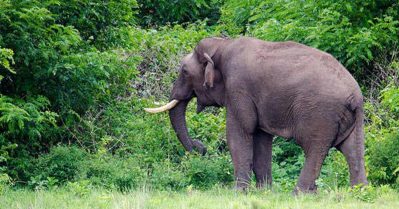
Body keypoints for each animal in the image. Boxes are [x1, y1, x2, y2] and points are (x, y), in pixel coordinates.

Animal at [145, 36, 368, 193]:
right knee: (352, 150)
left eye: (184, 71)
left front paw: (237, 192)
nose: (201, 148)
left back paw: (300, 194)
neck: (222, 45)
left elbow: (238, 133)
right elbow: (261, 138)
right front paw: (264, 193)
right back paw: (358, 193)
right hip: (352, 117)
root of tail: (354, 95)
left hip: (319, 114)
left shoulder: (238, 88)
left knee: (314, 148)